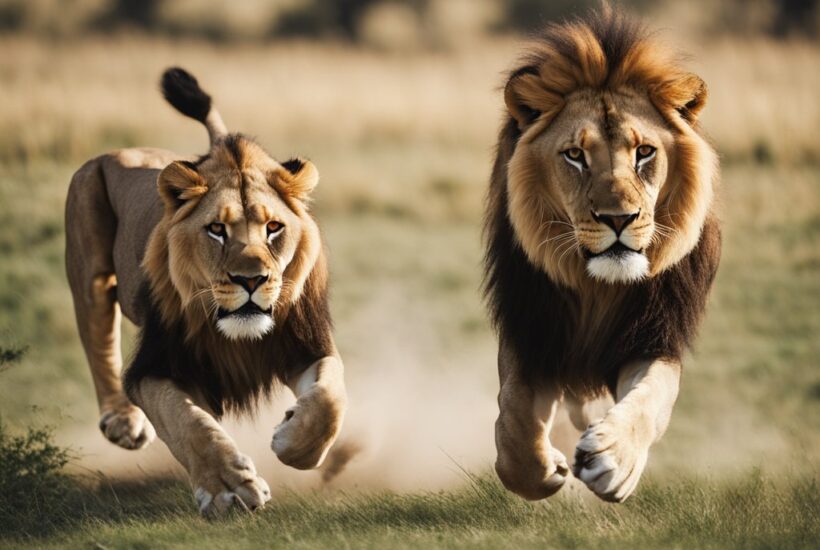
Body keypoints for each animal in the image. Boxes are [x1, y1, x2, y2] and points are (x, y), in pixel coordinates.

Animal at [65, 68, 347, 517]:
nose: (251, 280)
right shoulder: (157, 366)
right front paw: (227, 489)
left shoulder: (306, 346)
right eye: (217, 229)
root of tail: (124, 151)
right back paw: (123, 420)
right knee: (99, 338)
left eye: (273, 228)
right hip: (87, 244)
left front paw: (292, 441)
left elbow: (330, 399)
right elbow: (187, 423)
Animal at [484, 7, 721, 503]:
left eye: (644, 152)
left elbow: (650, 397)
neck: (598, 287)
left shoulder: (655, 334)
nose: (619, 219)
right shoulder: (531, 326)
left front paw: (613, 458)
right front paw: (545, 469)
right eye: (575, 155)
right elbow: (514, 419)